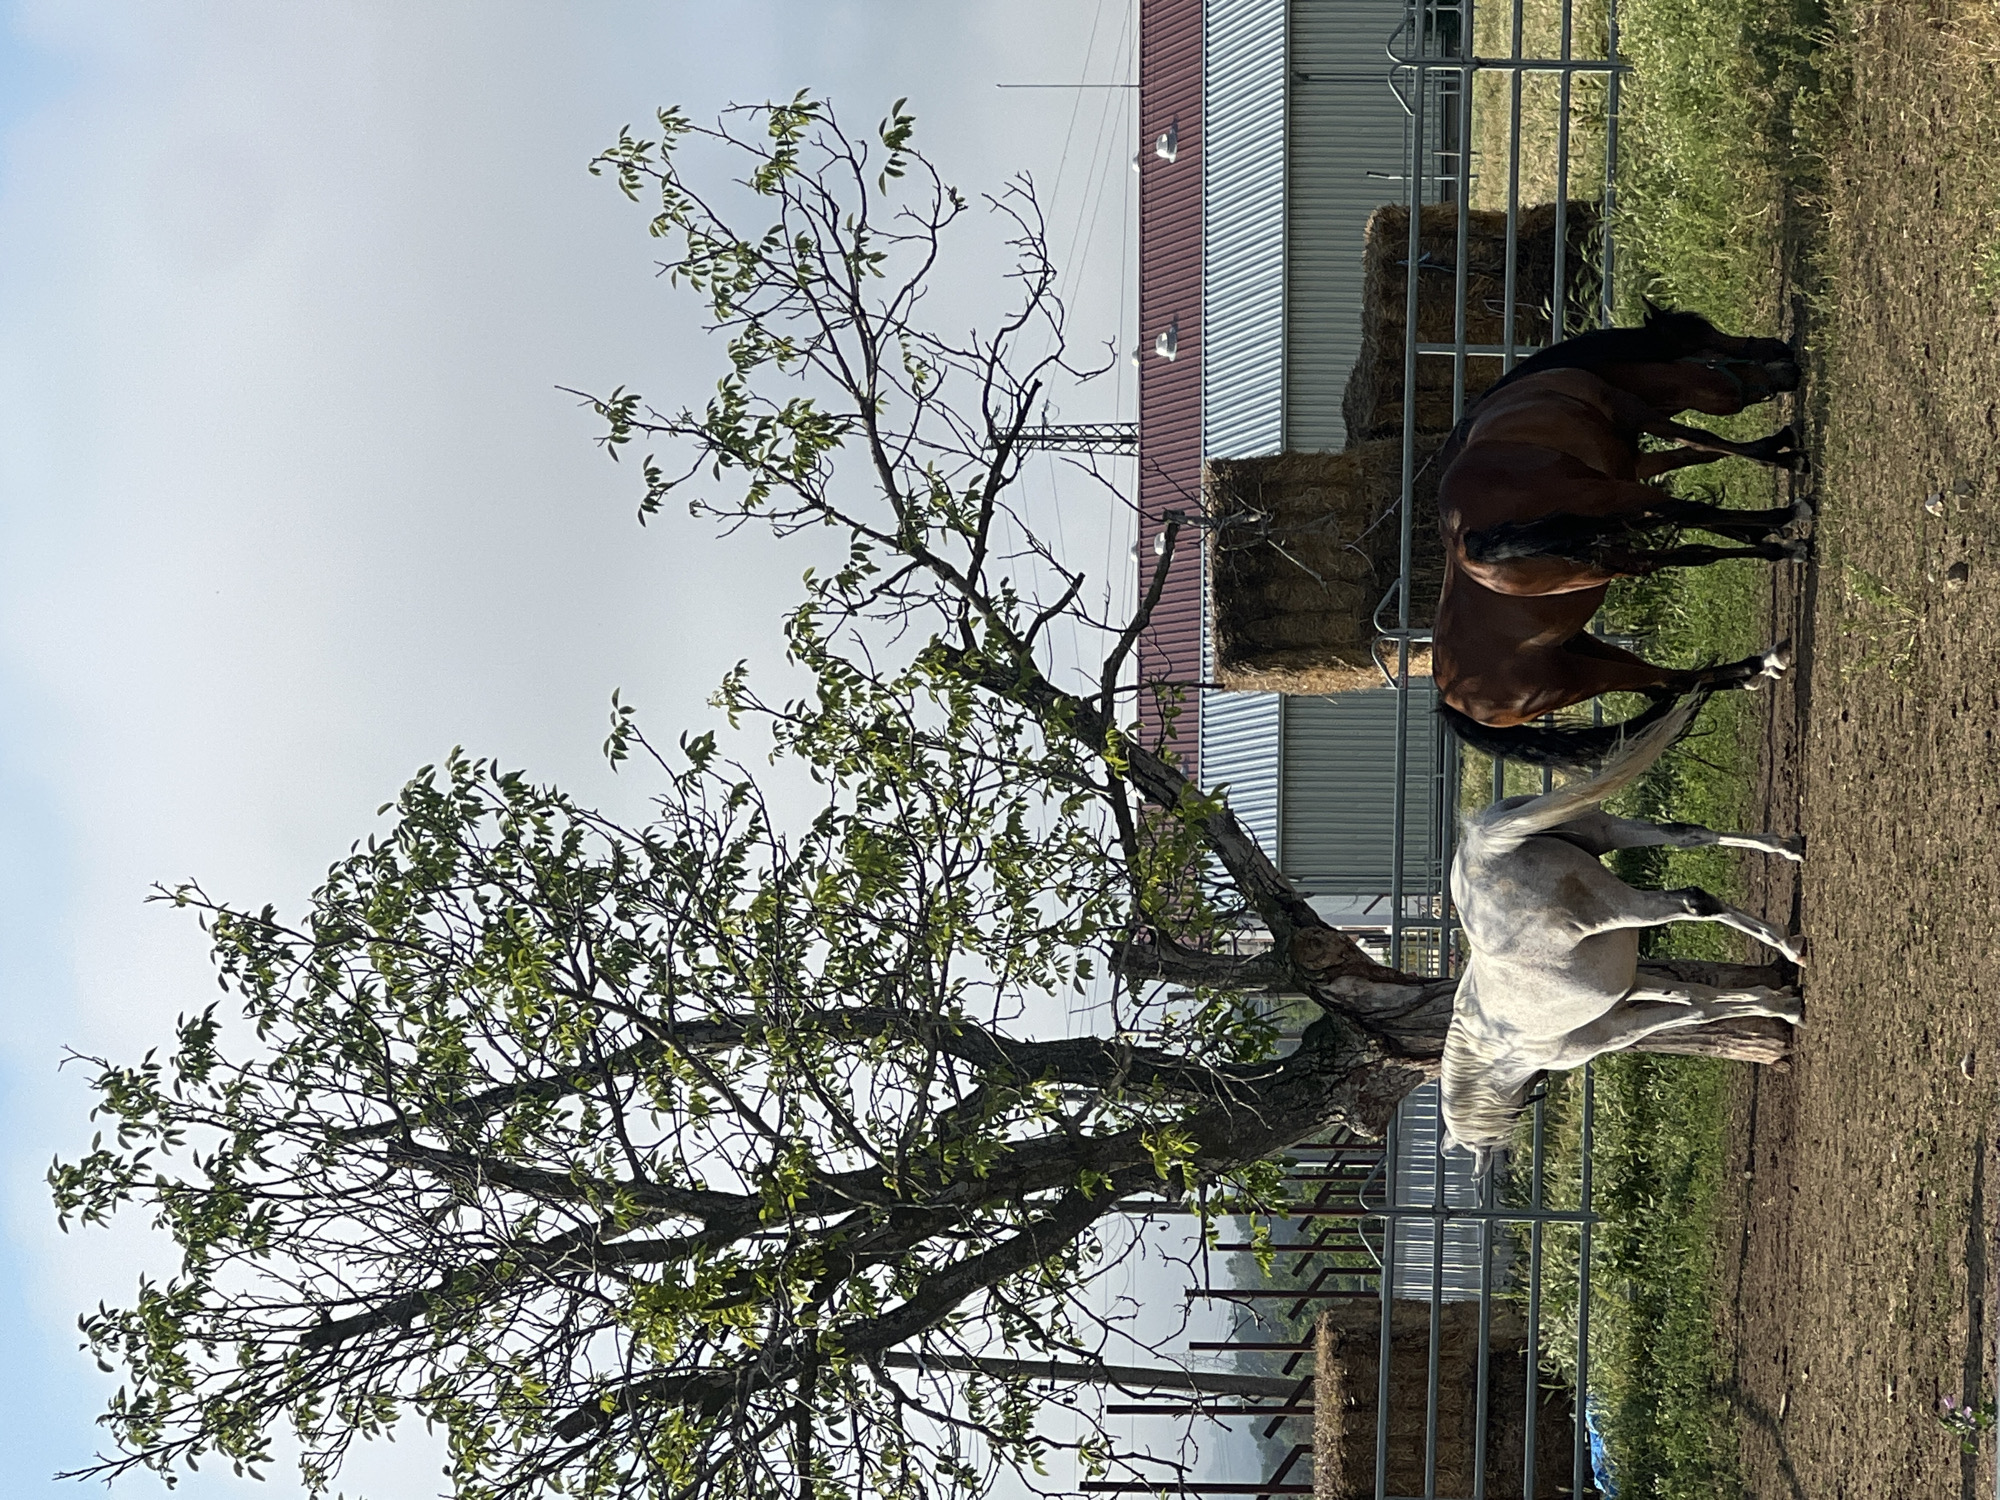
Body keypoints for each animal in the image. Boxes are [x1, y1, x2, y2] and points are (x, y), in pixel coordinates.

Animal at [1428, 306, 1811, 769]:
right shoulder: (1638, 427)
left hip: (1584, 649)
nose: (1785, 358)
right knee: (1670, 676)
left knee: (1668, 679)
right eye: (1704, 338)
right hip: (1587, 646)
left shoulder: (1634, 468)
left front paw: (1772, 525)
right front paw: (1785, 466)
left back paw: (1761, 661)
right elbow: (1707, 451)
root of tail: (1453, 697)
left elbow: (1699, 471)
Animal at [1438, 697, 1804, 1172]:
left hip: (1616, 908)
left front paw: (1787, 1007)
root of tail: (1483, 848)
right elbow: (1697, 999)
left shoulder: (1617, 1028)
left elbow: (1696, 1011)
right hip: (1608, 831)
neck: (1494, 1046)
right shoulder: (1632, 985)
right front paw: (1777, 1001)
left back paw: (1791, 945)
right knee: (1687, 836)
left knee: (1694, 903)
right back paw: (1790, 849)